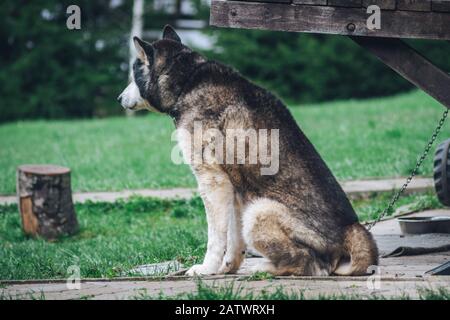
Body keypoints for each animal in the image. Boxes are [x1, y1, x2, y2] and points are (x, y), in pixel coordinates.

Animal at [118, 25, 378, 276]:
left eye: (133, 73)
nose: (119, 97)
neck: (188, 81)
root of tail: (351, 230)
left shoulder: (213, 182)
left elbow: (216, 238)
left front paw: (206, 268)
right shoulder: (234, 189)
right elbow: (234, 239)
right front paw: (227, 267)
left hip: (258, 211)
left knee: (307, 264)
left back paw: (263, 268)